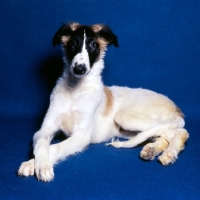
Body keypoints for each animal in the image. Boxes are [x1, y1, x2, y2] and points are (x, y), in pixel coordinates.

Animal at [18, 21, 188, 181]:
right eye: (73, 43)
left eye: (93, 44)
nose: (79, 69)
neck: (76, 91)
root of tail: (176, 108)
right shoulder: (46, 128)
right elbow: (41, 144)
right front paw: (39, 163)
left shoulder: (81, 136)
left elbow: (56, 147)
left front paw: (37, 165)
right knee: (164, 135)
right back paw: (151, 150)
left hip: (125, 117)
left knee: (182, 132)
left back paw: (169, 153)